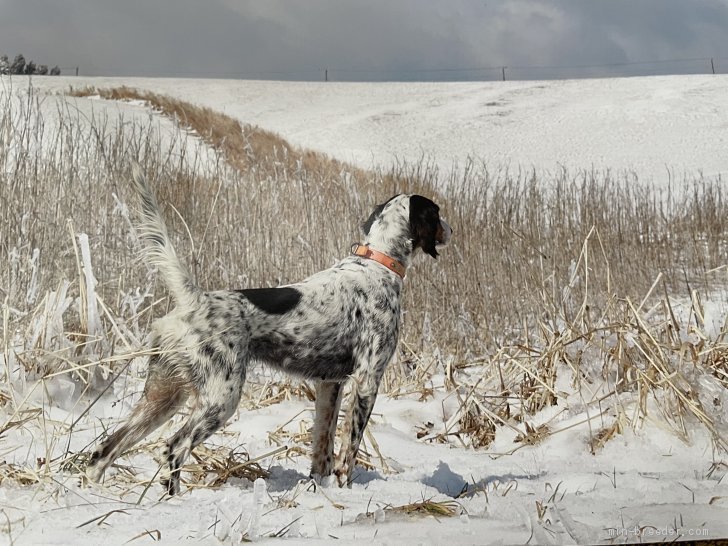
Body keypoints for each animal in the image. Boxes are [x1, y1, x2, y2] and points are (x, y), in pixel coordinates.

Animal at [85, 164, 450, 490]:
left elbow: (323, 448)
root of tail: (195, 299)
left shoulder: (329, 385)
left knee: (104, 450)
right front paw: (347, 490)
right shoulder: (367, 379)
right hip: (220, 396)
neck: (378, 264)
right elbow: (349, 451)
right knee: (173, 448)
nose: (450, 227)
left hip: (163, 396)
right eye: (437, 212)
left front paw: (321, 489)